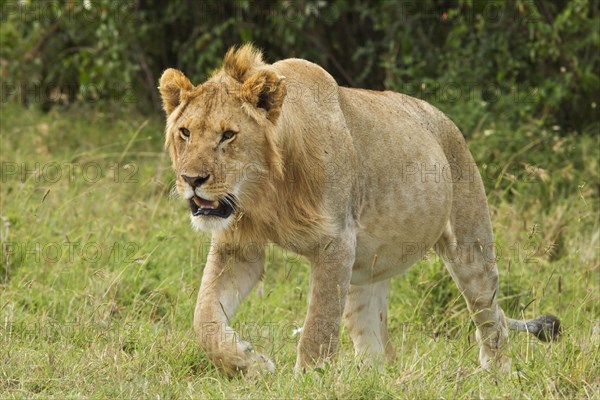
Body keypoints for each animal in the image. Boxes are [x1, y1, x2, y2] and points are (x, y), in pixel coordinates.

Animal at [157, 45, 560, 376]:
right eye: (185, 133)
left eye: (228, 135)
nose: (192, 179)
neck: (266, 194)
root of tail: (446, 121)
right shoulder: (238, 246)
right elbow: (204, 317)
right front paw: (247, 361)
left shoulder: (336, 243)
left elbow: (318, 327)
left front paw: (309, 380)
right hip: (365, 271)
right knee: (376, 343)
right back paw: (372, 379)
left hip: (469, 246)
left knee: (492, 317)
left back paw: (497, 374)